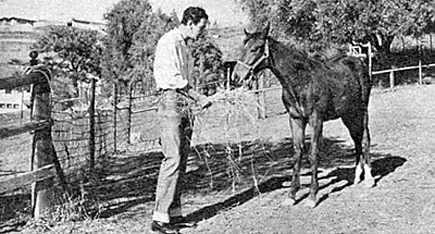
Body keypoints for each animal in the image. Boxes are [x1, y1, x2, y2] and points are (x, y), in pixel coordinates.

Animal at [233, 23, 376, 207]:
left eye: (255, 48)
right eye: (242, 47)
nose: (236, 76)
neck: (300, 81)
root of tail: (358, 61)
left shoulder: (316, 119)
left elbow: (314, 152)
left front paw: (312, 196)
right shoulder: (295, 120)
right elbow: (297, 152)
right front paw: (291, 195)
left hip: (361, 110)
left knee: (364, 138)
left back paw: (369, 179)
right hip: (348, 114)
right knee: (356, 139)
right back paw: (357, 176)